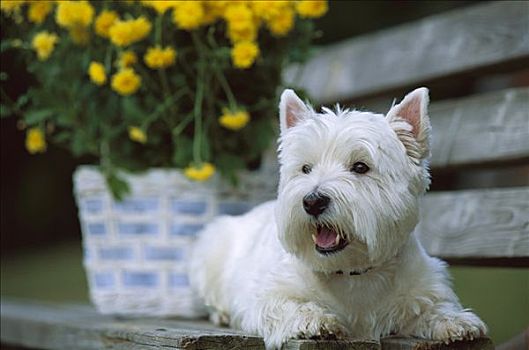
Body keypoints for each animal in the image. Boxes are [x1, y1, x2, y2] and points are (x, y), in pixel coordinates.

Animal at [190, 88, 486, 350]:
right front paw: (315, 320)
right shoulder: (267, 294)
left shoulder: (423, 289)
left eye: (360, 167)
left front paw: (458, 323)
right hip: (212, 247)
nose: (312, 201)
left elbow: (434, 307)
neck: (352, 272)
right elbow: (284, 305)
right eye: (305, 168)